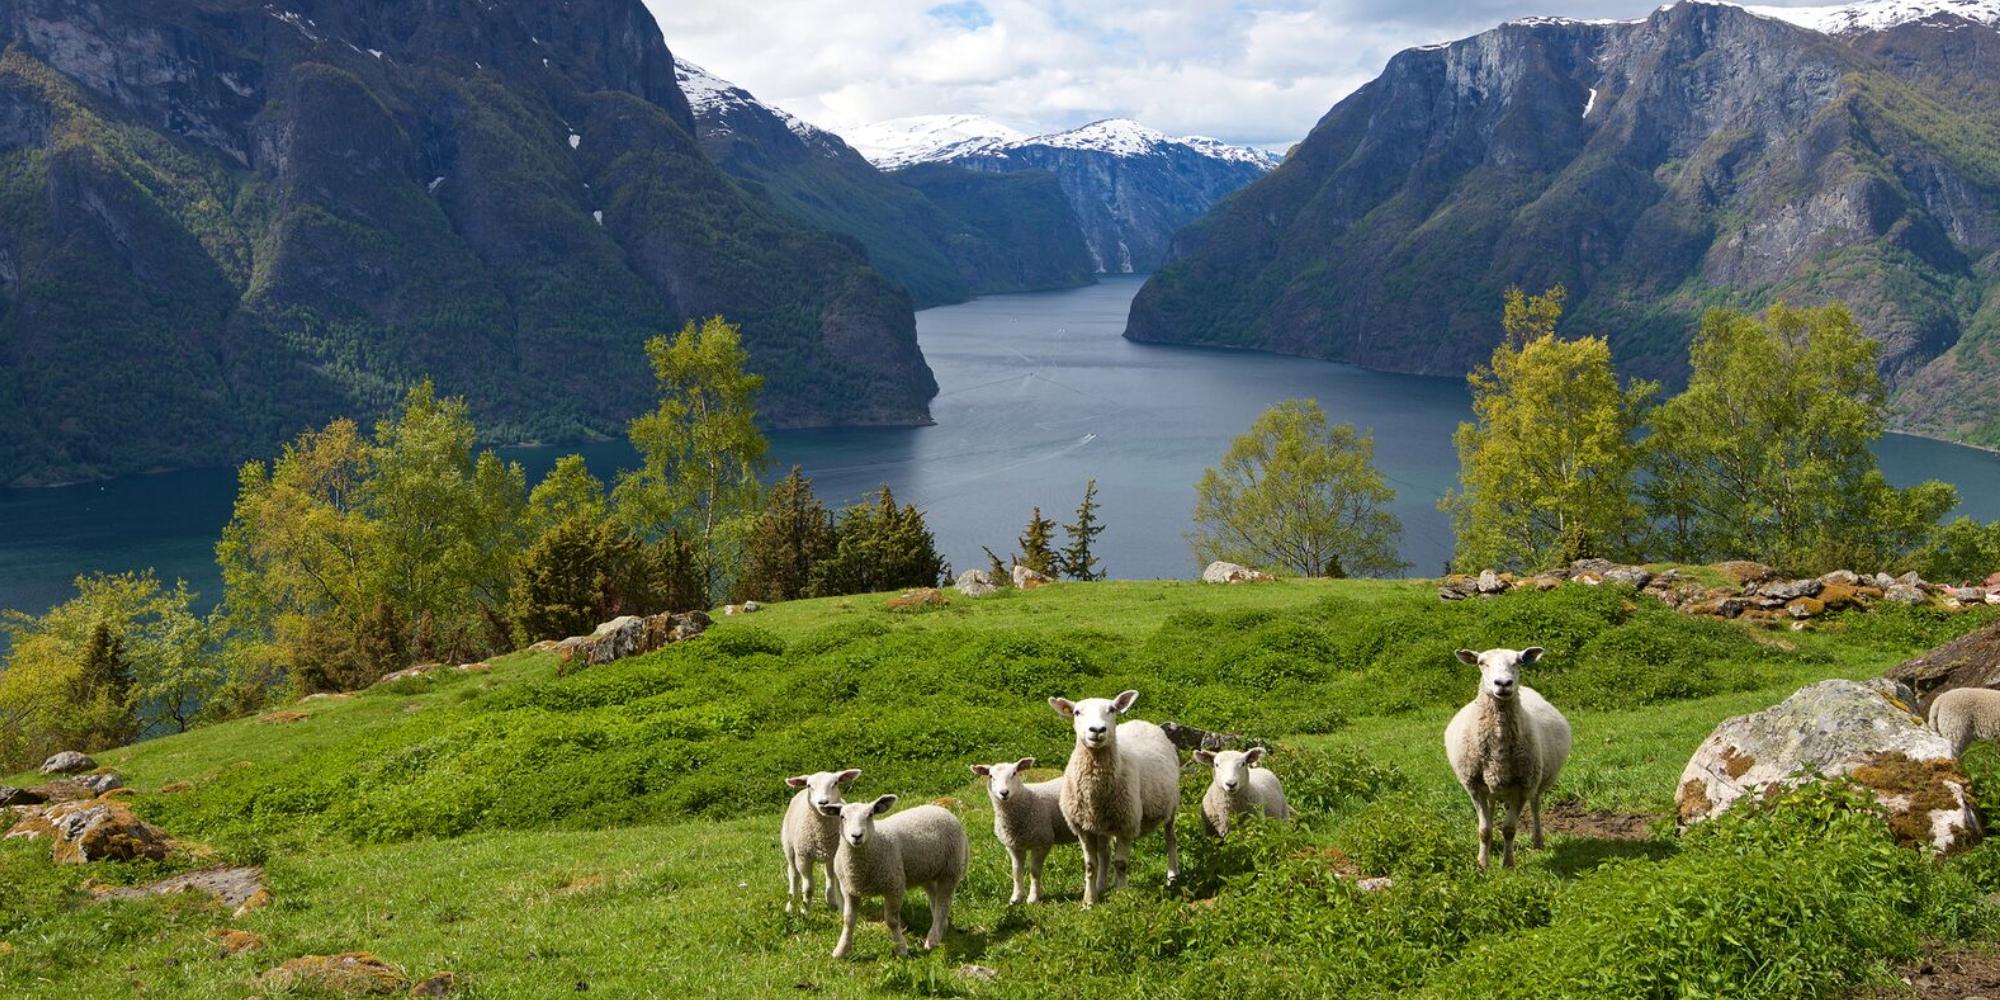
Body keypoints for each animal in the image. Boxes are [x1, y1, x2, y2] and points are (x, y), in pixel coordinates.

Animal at [780, 768, 860, 913]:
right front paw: (805, 911)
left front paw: (840, 908)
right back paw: (790, 905)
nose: (823, 802)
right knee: (793, 875)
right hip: (789, 847)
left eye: (835, 783)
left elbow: (836, 884)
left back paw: (831, 901)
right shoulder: (803, 858)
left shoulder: (836, 856)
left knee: (829, 877)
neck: (822, 833)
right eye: (809, 785)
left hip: (829, 857)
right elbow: (808, 888)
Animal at [822, 795, 968, 959]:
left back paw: (932, 939)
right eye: (842, 817)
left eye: (870, 815)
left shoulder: (894, 886)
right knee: (935, 898)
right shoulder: (849, 889)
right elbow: (848, 920)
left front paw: (901, 948)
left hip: (950, 870)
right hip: (927, 872)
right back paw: (941, 928)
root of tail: (944, 811)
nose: (856, 836)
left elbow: (891, 921)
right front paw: (841, 950)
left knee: (944, 903)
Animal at [970, 757, 1072, 903]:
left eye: (1014, 773)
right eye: (991, 776)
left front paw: (1033, 898)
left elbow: (1034, 872)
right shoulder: (1014, 846)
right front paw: (1016, 897)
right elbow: (1016, 872)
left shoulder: (1042, 841)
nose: (1004, 793)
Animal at [1048, 689, 1181, 906]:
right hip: (1103, 823)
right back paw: (1103, 886)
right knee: (1104, 853)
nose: (1097, 730)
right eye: (1076, 712)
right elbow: (1090, 865)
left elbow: (1121, 863)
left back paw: (1172, 876)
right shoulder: (1083, 828)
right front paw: (1089, 900)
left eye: (1111, 709)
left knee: (1170, 839)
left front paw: (1122, 896)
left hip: (1171, 806)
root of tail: (1142, 722)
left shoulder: (1127, 824)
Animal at [1443, 647, 1572, 871]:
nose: (1503, 684)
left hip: (1536, 781)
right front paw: (1482, 864)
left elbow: (1509, 829)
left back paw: (1538, 841)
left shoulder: (1522, 787)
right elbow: (1484, 830)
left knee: (1535, 805)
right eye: (1481, 663)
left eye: (1519, 661)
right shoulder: (1474, 787)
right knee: (1492, 807)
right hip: (1491, 787)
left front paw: (1508, 864)